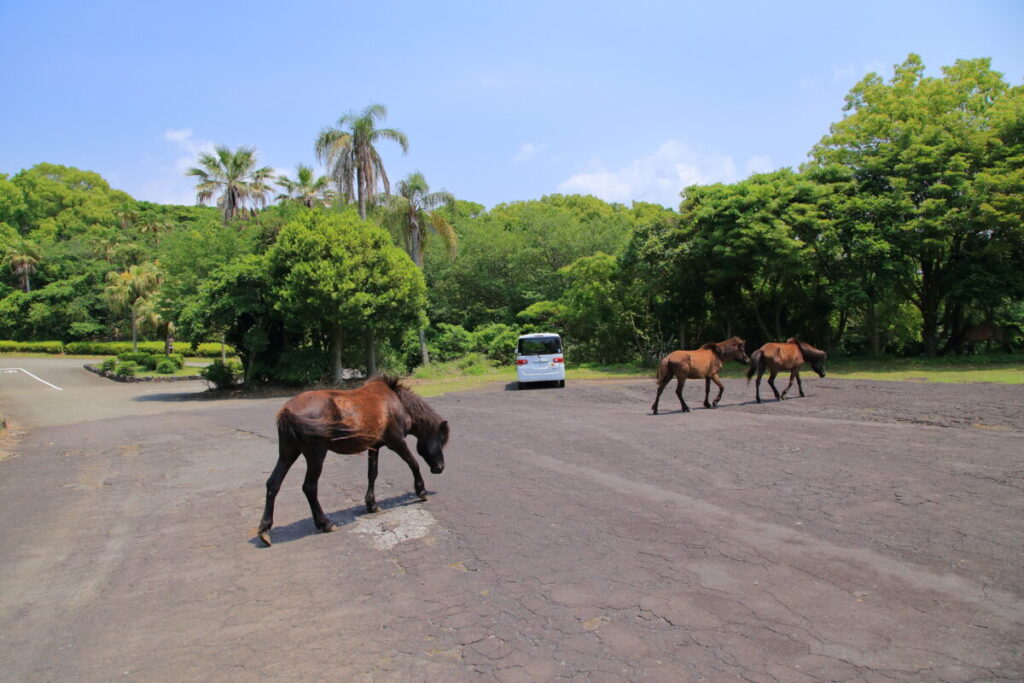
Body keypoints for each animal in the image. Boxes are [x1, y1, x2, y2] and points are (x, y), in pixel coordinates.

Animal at [257, 375, 449, 547]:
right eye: (440, 440)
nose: (440, 467)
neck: (396, 403)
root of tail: (287, 411)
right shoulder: (396, 442)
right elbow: (414, 464)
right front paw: (421, 491)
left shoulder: (374, 447)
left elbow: (372, 474)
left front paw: (372, 504)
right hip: (315, 455)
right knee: (309, 487)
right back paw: (325, 523)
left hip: (288, 454)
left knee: (273, 484)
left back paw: (265, 530)